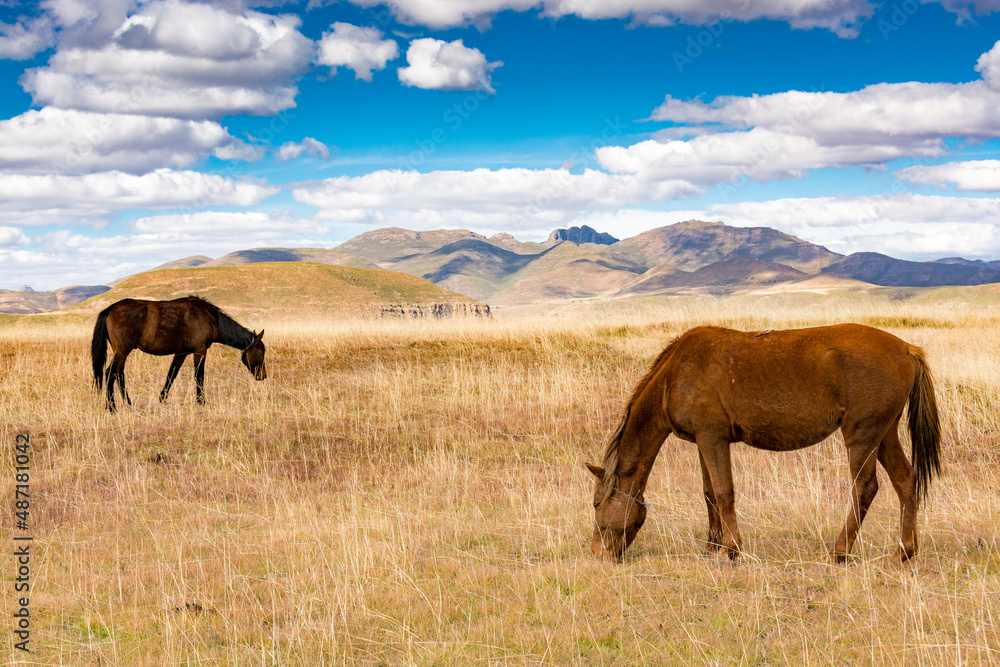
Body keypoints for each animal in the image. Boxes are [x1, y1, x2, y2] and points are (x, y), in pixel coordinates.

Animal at [91, 296, 267, 412]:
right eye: (262, 351)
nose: (263, 376)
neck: (209, 317)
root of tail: (109, 309)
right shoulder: (200, 351)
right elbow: (199, 376)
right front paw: (201, 401)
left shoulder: (181, 353)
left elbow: (171, 375)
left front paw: (162, 399)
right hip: (122, 351)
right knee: (110, 373)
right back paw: (112, 407)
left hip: (122, 352)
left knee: (119, 374)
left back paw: (127, 403)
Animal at [587, 323, 940, 565]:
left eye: (596, 504)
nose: (597, 553)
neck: (673, 377)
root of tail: (906, 349)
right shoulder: (702, 441)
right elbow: (709, 494)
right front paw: (713, 546)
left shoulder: (713, 438)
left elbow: (723, 492)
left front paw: (730, 550)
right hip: (884, 434)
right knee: (905, 481)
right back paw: (903, 553)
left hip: (862, 436)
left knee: (864, 488)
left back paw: (839, 552)